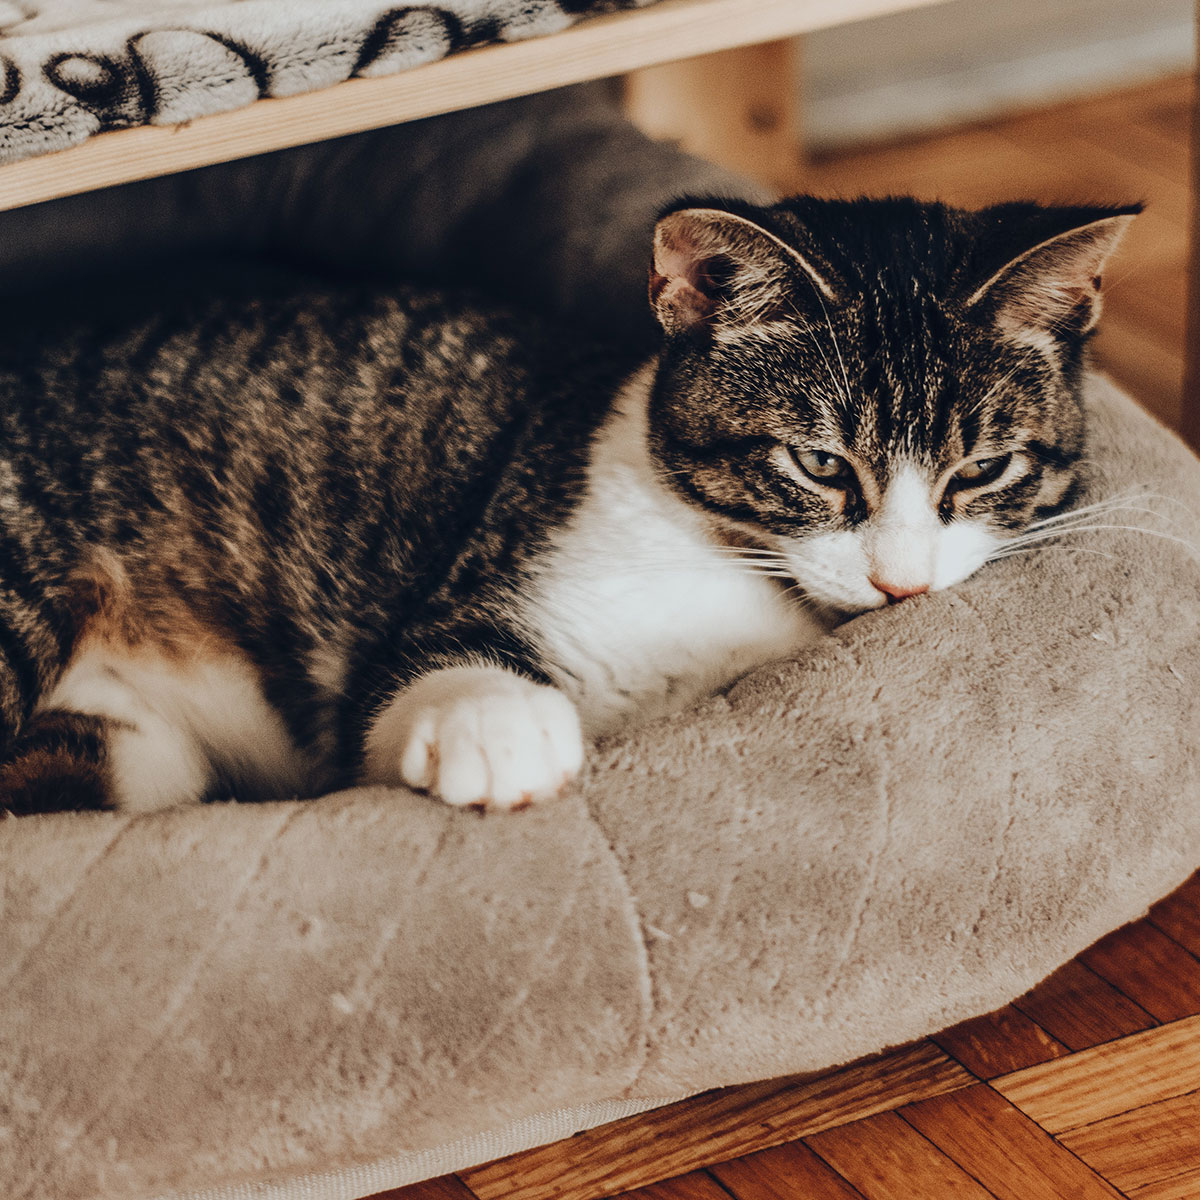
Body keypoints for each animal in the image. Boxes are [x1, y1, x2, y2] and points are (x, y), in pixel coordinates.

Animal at [0, 194, 1132, 816]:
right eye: (817, 464)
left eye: (981, 471)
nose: (900, 584)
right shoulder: (479, 574)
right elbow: (419, 674)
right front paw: (501, 733)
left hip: (140, 749)